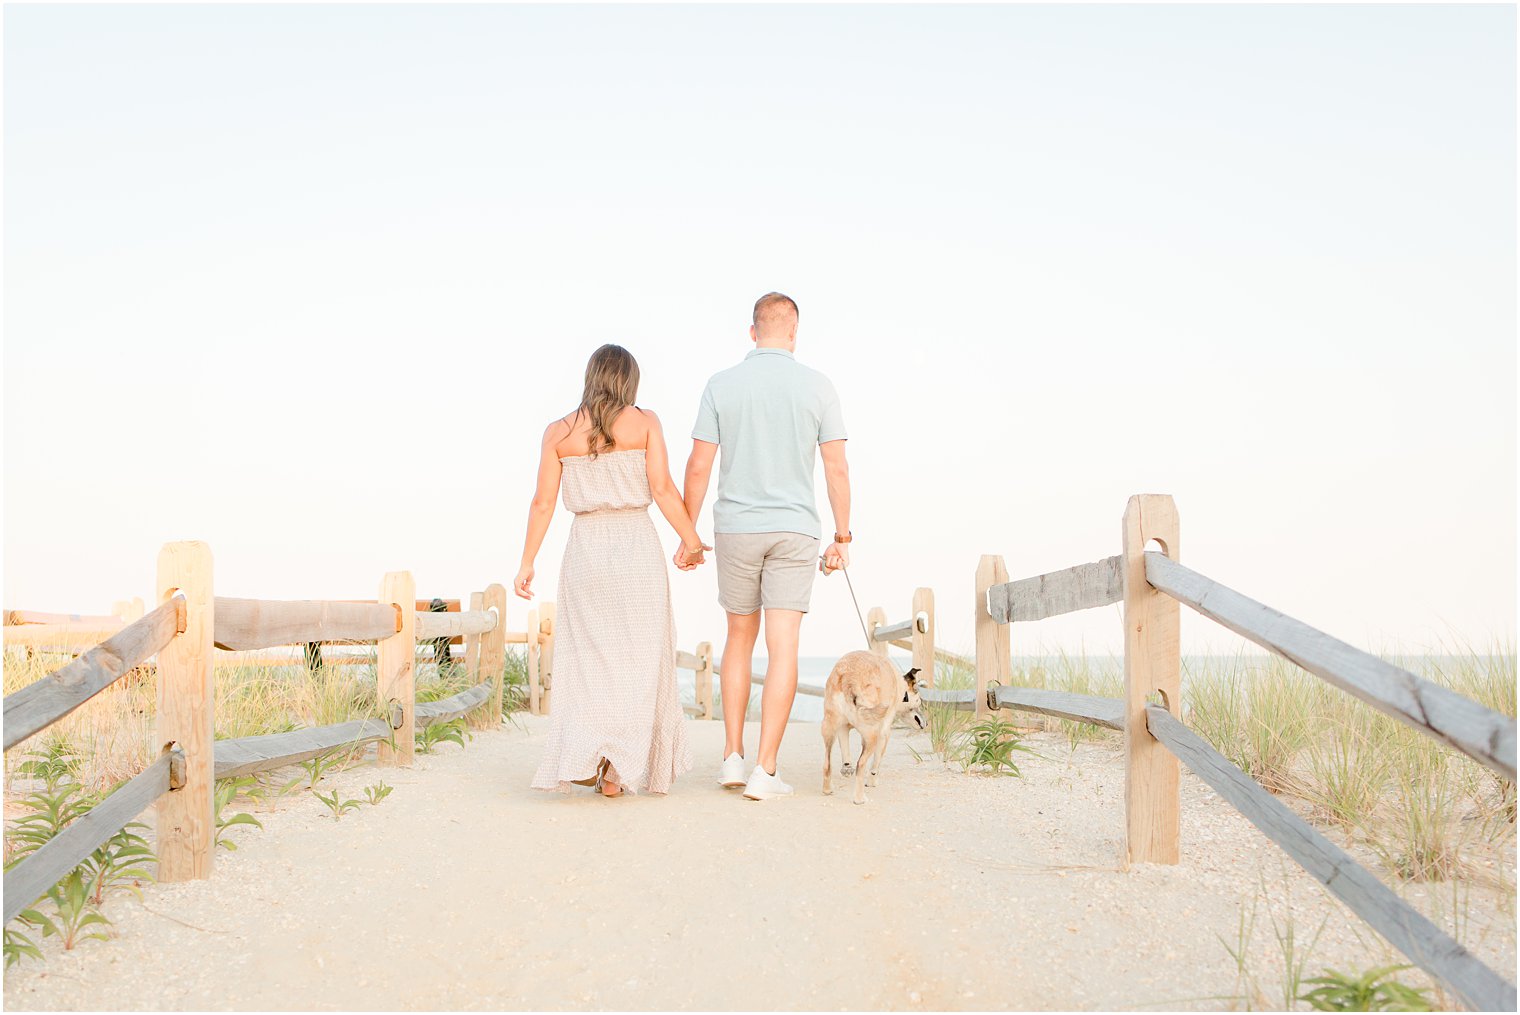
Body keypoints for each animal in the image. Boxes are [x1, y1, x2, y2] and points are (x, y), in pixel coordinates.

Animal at [826, 653, 918, 802]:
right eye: (919, 700)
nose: (925, 722)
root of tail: (850, 679)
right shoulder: (884, 732)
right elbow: (876, 762)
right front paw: (872, 781)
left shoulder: (842, 727)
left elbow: (845, 751)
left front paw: (847, 768)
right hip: (873, 734)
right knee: (861, 763)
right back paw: (859, 798)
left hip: (828, 728)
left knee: (827, 764)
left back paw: (827, 789)